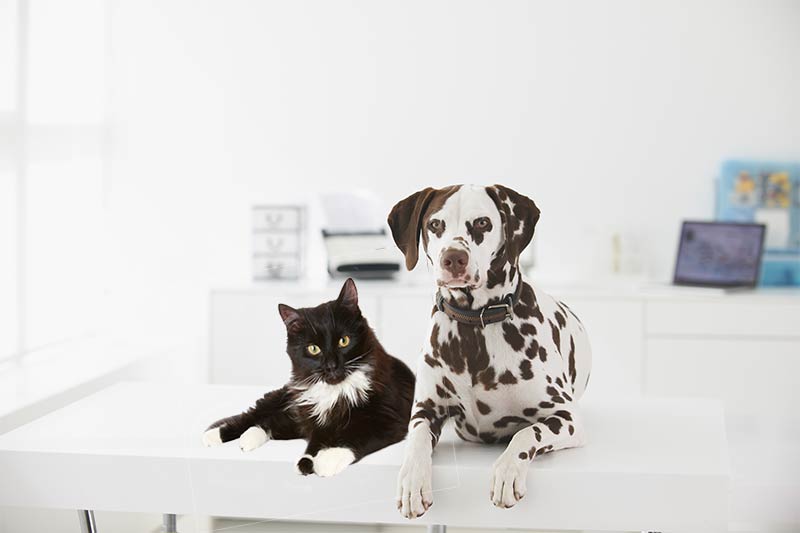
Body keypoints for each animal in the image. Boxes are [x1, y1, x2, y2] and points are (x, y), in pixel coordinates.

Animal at [203, 276, 416, 476]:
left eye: (344, 341)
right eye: (314, 349)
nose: (331, 366)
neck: (336, 392)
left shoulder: (389, 419)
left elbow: (355, 435)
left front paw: (324, 460)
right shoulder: (311, 417)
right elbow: (319, 440)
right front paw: (313, 461)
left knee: (268, 423)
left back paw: (248, 437)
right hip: (286, 402)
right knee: (253, 416)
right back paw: (214, 435)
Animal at [390, 185, 592, 516]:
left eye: (482, 223)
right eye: (435, 224)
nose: (453, 258)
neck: (474, 332)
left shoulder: (566, 417)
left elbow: (527, 433)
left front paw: (507, 471)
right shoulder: (426, 410)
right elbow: (416, 439)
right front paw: (412, 481)